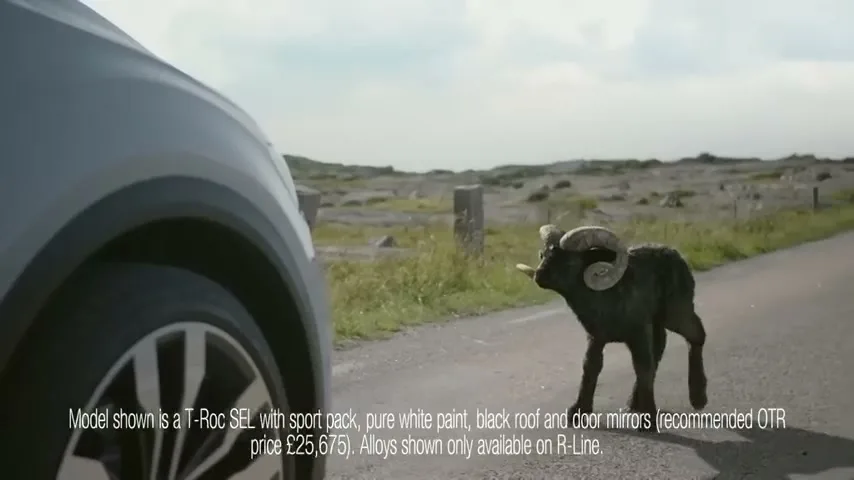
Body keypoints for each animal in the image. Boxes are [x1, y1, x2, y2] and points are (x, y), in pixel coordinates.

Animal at [515, 224, 708, 432]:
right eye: (544, 255)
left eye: (568, 261)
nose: (539, 276)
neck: (606, 296)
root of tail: (677, 255)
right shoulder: (596, 337)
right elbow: (591, 367)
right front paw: (578, 412)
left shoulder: (638, 333)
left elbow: (642, 367)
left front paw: (648, 420)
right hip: (657, 321)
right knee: (660, 347)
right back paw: (634, 402)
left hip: (675, 313)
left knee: (696, 335)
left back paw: (698, 398)